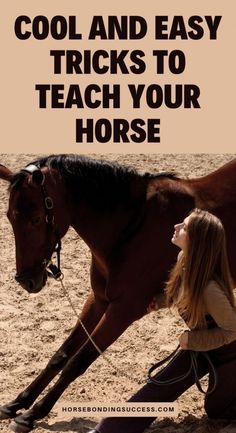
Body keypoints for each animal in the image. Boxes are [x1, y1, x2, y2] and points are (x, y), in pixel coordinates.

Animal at [0, 154, 235, 430]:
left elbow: (78, 361)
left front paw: (33, 414)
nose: (27, 280)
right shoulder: (98, 300)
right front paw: (18, 402)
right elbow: (61, 354)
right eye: (9, 217)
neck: (132, 225)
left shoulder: (123, 311)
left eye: (36, 218)